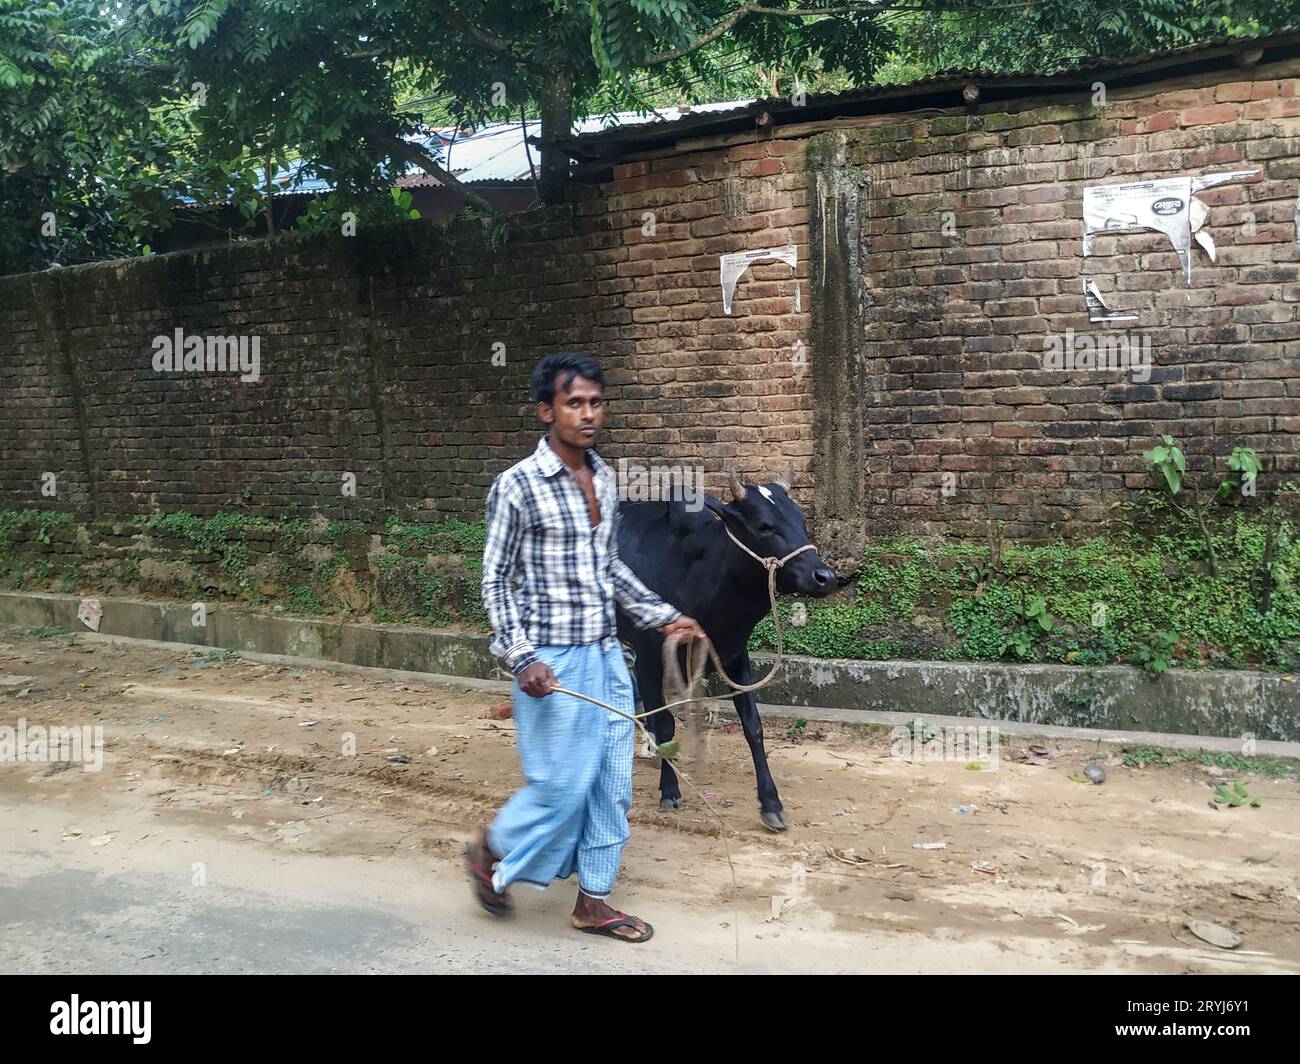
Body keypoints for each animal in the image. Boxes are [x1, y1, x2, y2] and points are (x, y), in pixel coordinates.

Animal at [613, 470, 837, 827]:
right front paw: (670, 791)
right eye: (763, 525)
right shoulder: (651, 653)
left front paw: (771, 803)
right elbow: (667, 722)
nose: (824, 577)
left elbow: (753, 726)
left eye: (801, 520)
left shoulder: (733, 653)